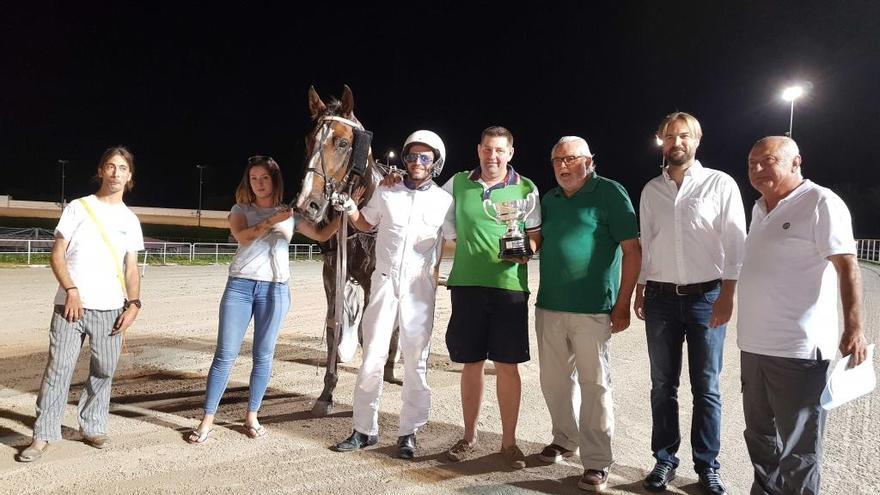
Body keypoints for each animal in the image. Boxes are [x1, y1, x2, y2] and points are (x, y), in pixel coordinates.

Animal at [298, 86, 404, 418]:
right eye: (309, 140)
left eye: (343, 142)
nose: (307, 204)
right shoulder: (332, 271)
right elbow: (335, 324)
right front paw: (326, 393)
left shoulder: (374, 278)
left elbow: (370, 330)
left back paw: (391, 367)